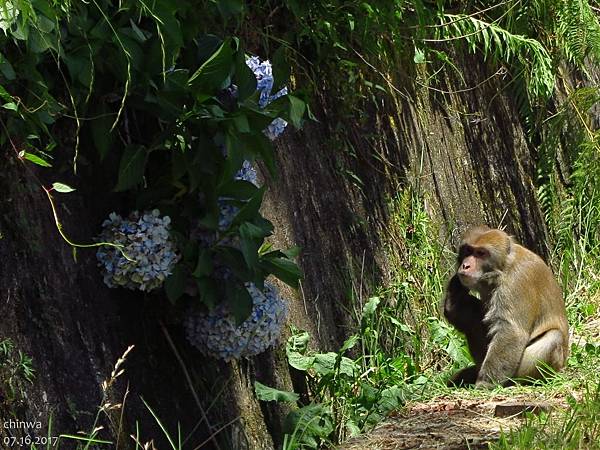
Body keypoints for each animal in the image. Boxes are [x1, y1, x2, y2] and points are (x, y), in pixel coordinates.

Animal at [442, 227, 568, 388]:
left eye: (480, 253)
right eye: (468, 251)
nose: (465, 266)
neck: (504, 267)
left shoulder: (516, 282)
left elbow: (511, 332)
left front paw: (485, 383)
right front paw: (455, 291)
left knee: (553, 337)